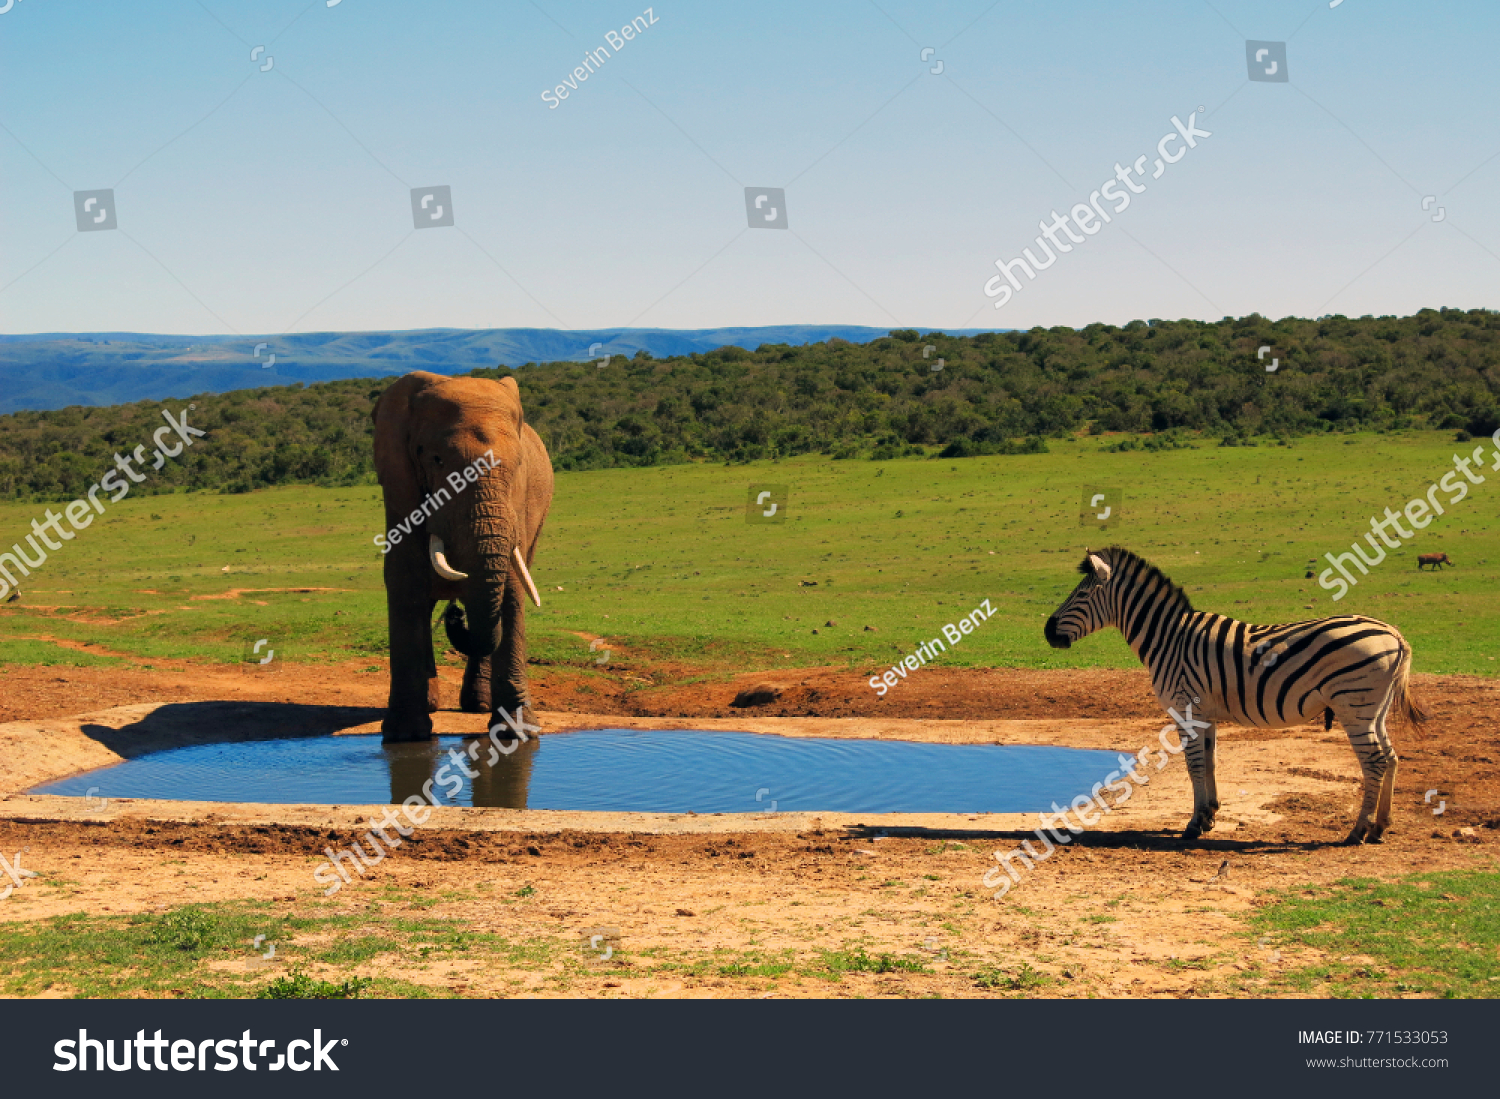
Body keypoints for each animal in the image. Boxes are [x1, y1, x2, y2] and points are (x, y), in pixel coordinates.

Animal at [372, 370, 555, 746]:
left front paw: (516, 734)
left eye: (518, 465)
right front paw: (405, 736)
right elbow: (406, 583)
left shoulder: (518, 507)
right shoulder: (400, 490)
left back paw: (478, 705)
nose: (456, 616)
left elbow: (511, 590)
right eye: (437, 461)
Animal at [1050, 545, 1422, 845]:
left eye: (1081, 595)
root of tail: (1394, 634)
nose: (1047, 631)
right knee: (1390, 757)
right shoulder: (1205, 714)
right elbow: (1210, 761)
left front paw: (1193, 825)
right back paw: (1380, 827)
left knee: (1374, 761)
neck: (1169, 639)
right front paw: (1210, 815)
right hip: (1374, 709)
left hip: (1353, 705)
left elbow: (1194, 765)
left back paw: (1358, 831)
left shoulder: (1185, 708)